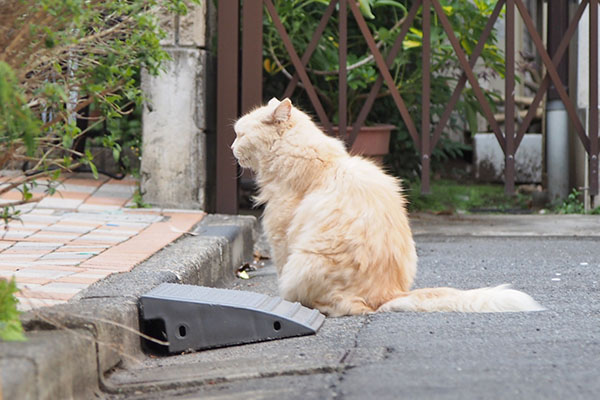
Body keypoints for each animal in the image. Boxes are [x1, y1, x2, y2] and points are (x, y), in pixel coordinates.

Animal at [231, 97, 544, 316]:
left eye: (240, 135)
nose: (231, 149)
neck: (320, 161)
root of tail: (389, 292)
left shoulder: (280, 237)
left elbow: (280, 272)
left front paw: (282, 305)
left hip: (304, 261)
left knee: (348, 306)